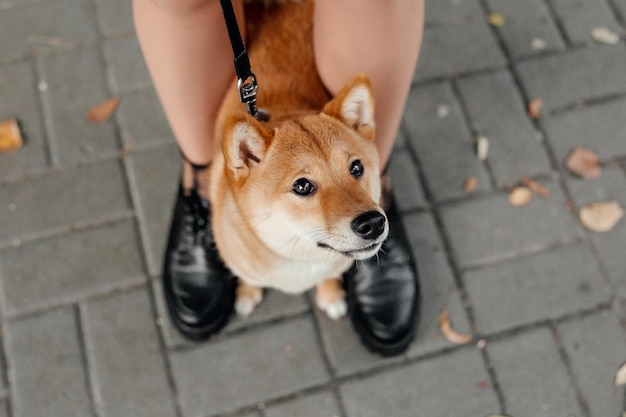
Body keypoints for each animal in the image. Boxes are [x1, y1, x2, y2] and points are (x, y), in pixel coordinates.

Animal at [206, 0, 386, 318]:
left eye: (356, 168)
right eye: (302, 186)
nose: (373, 223)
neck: (301, 262)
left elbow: (330, 276)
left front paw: (330, 294)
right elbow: (248, 278)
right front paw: (247, 293)